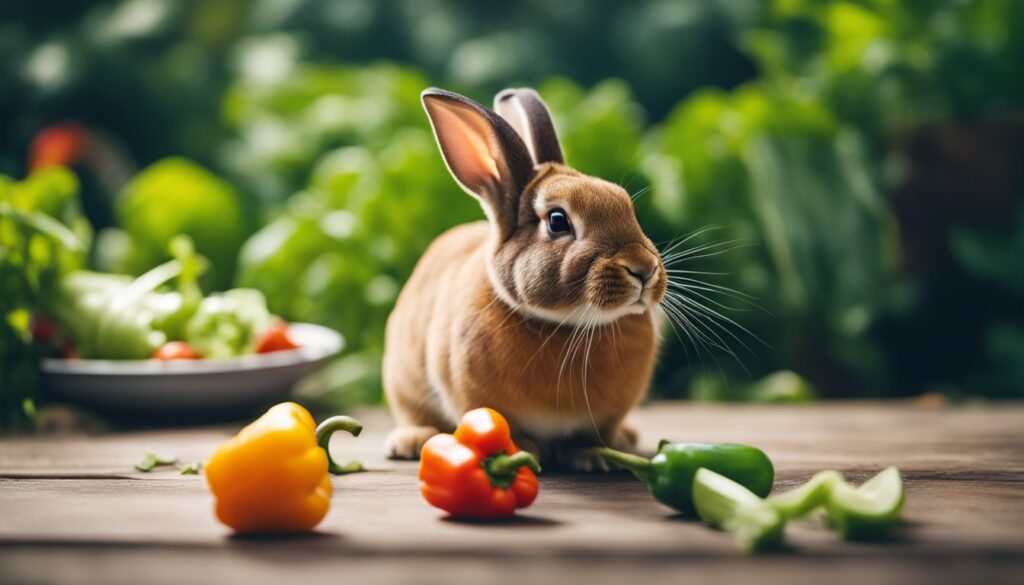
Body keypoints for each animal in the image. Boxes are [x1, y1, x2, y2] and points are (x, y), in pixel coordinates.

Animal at [382, 87, 666, 471]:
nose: (643, 268)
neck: (565, 325)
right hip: (404, 381)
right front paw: (523, 450)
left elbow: (592, 435)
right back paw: (411, 441)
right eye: (557, 221)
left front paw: (592, 456)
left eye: (625, 204)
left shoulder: (604, 416)